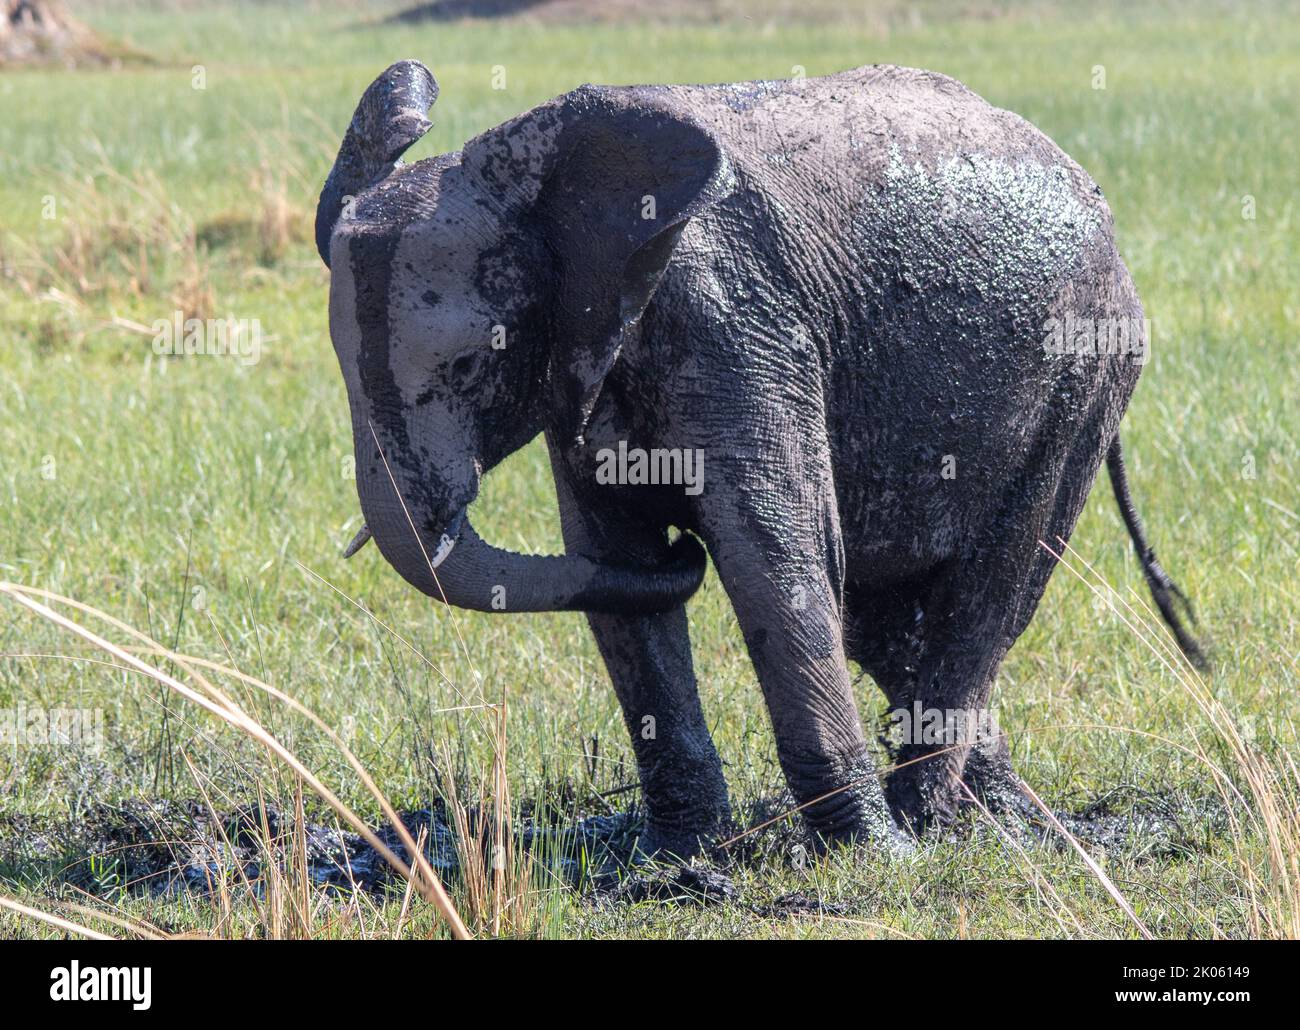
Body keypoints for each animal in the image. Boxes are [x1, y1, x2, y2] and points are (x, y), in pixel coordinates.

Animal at [312, 60, 1196, 858]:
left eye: (471, 364)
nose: (685, 547)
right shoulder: (590, 349)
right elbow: (614, 562)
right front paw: (678, 859)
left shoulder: (736, 325)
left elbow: (772, 551)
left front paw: (876, 861)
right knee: (880, 617)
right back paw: (1002, 816)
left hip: (1086, 365)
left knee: (994, 582)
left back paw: (933, 828)